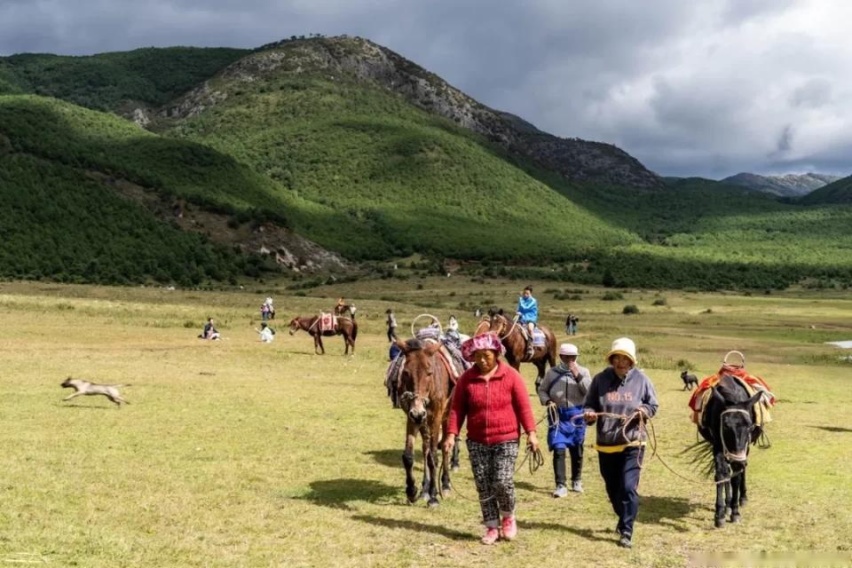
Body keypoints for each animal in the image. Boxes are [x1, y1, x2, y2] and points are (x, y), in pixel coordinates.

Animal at [394, 338, 456, 506]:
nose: (418, 412)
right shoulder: (412, 418)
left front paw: (434, 496)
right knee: (425, 447)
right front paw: (412, 491)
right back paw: (424, 489)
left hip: (446, 416)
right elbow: (408, 456)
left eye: (429, 373)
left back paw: (445, 484)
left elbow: (433, 458)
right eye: (406, 372)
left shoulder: (436, 418)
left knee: (446, 446)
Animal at [692, 378, 764, 528]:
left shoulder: (743, 450)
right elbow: (721, 474)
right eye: (725, 426)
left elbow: (736, 477)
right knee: (726, 472)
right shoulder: (718, 445)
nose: (737, 460)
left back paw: (741, 499)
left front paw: (735, 512)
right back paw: (727, 504)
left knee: (741, 471)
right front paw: (720, 513)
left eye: (750, 426)